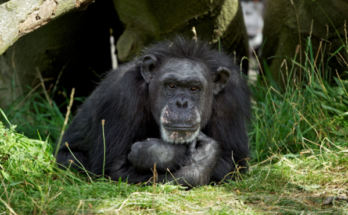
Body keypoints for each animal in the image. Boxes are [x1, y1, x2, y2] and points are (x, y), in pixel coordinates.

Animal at [57, 36, 250, 187]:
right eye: (171, 85)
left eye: (194, 88)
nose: (181, 103)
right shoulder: (122, 96)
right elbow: (114, 170)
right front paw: (185, 157)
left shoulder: (231, 100)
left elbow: (230, 163)